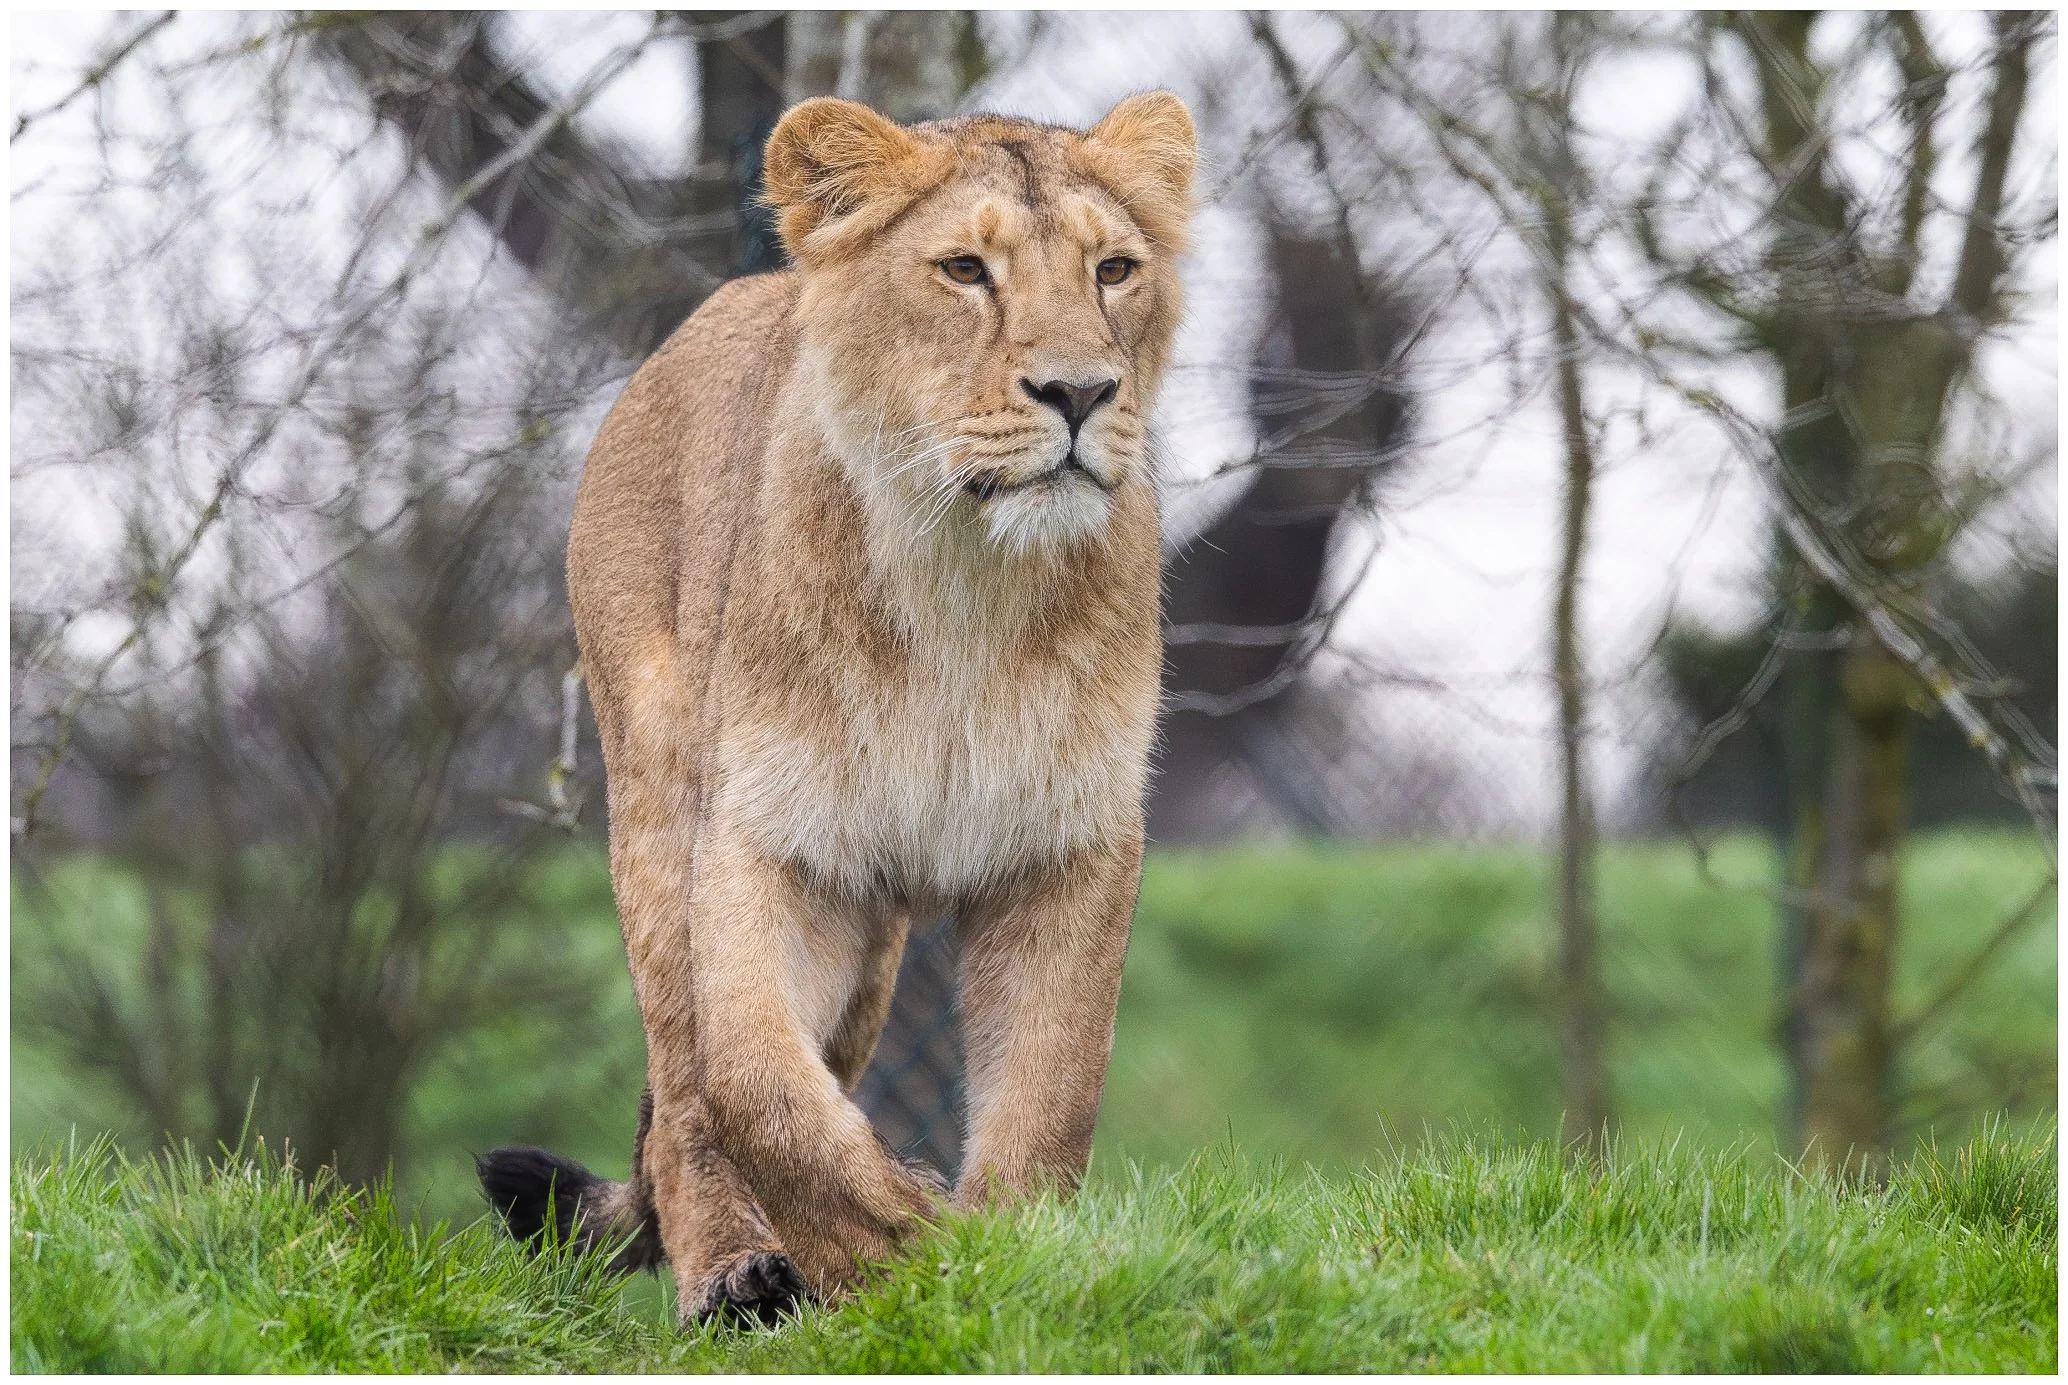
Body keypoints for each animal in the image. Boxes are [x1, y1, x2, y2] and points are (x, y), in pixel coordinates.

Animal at [476, 90, 1197, 1326]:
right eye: (964, 269)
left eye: (1114, 270)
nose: (1080, 393)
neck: (964, 578)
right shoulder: (774, 840)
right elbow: (751, 1081)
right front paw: (909, 1238)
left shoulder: (1070, 845)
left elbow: (1050, 1085)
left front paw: (1007, 1255)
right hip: (659, 803)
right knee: (681, 1089)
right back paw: (734, 1274)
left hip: (871, 953)